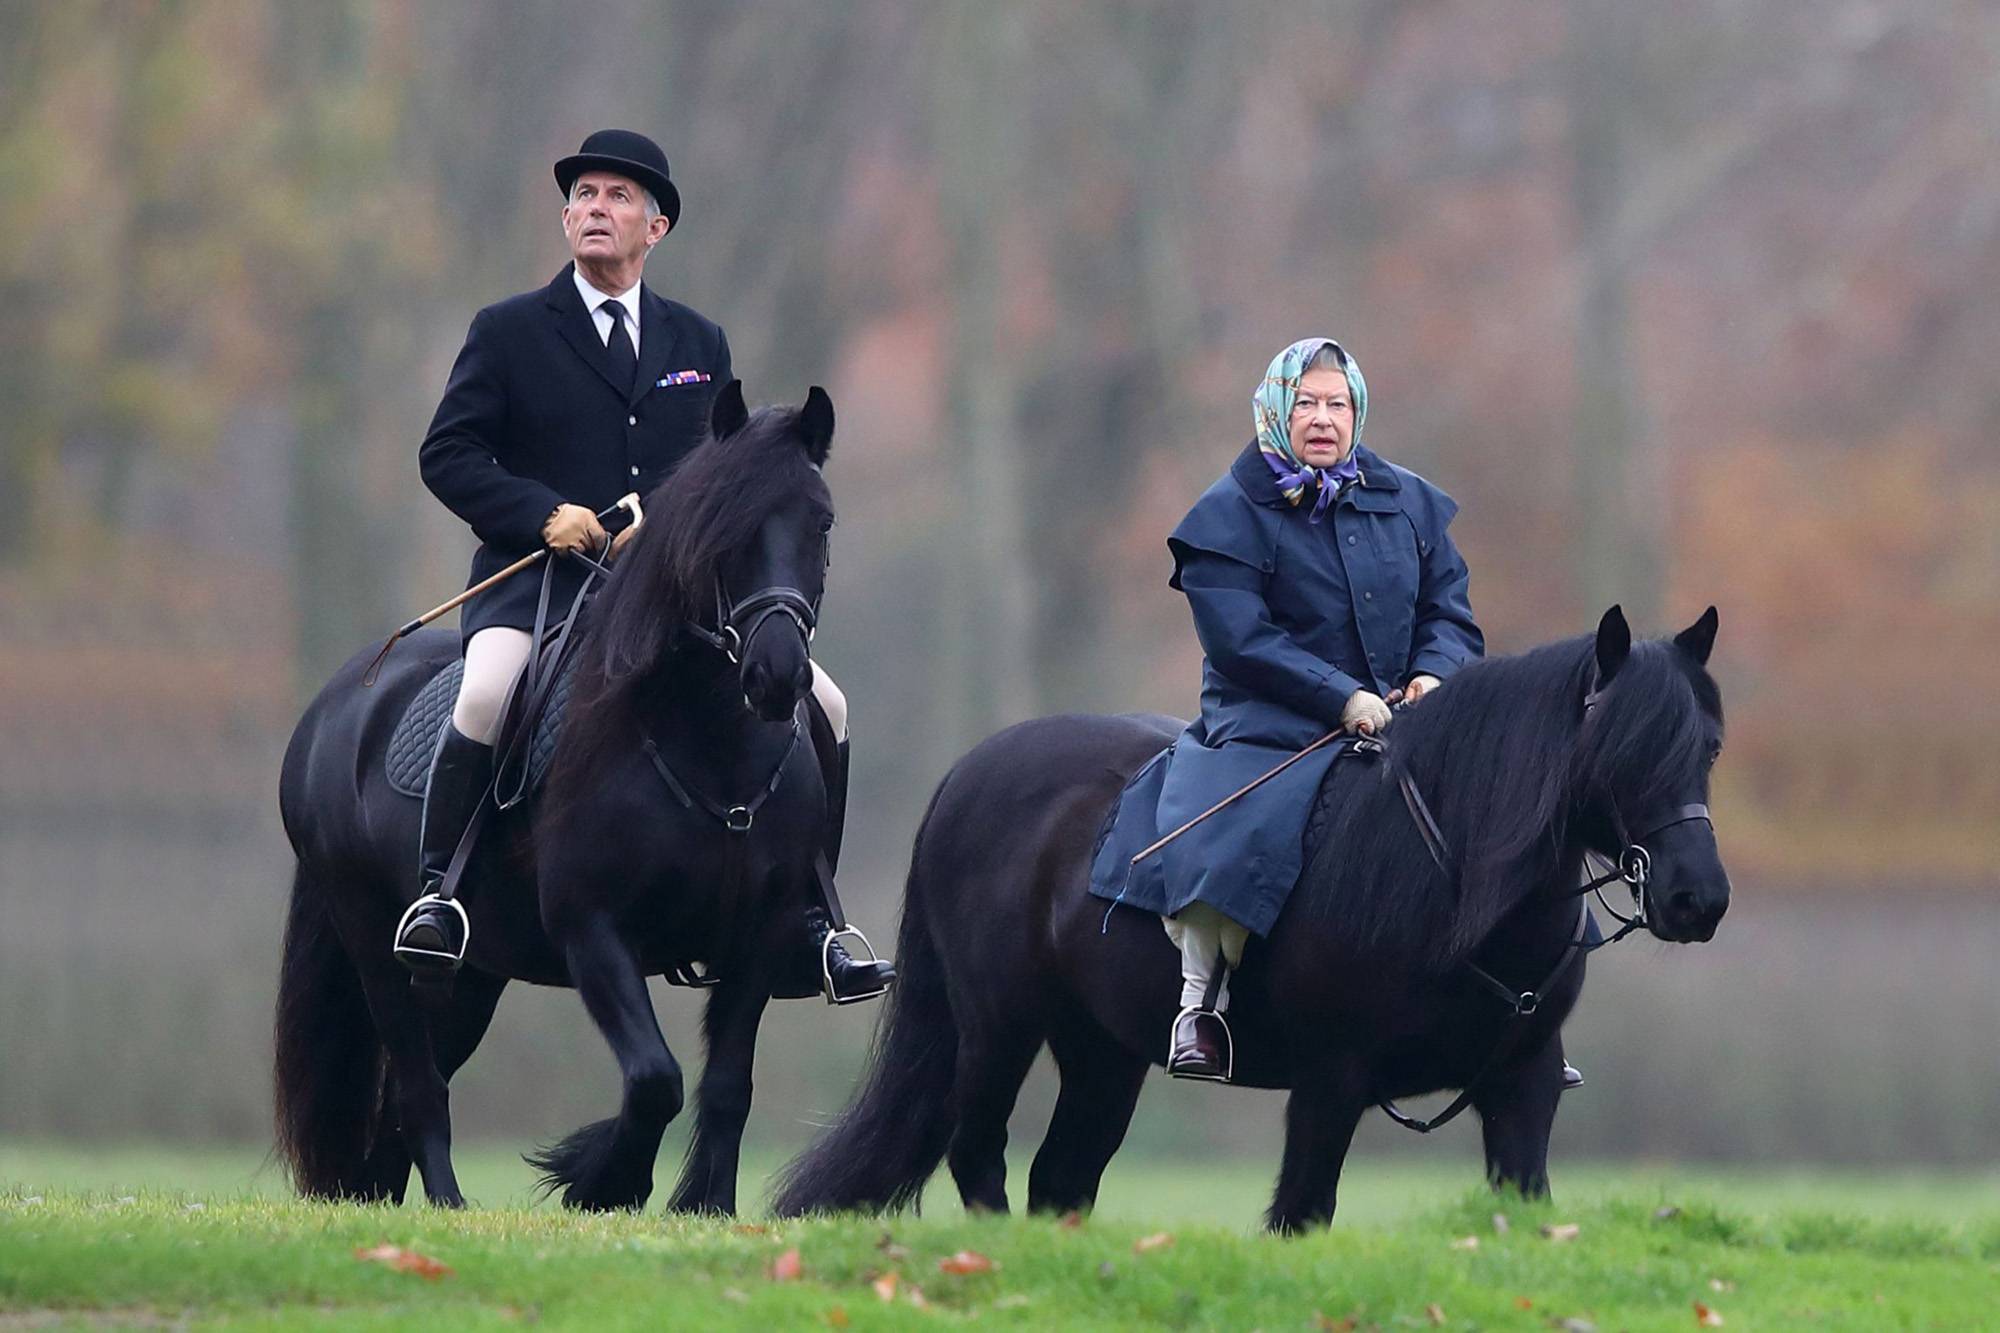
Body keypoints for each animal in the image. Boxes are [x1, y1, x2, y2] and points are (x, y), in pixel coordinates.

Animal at [280, 378, 836, 1208]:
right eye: (720, 524)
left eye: (820, 519)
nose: (775, 676)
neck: (713, 748)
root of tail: (334, 702)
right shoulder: (592, 928)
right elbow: (655, 1078)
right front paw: (604, 1179)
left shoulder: (760, 935)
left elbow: (727, 1087)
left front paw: (705, 1206)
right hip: (376, 942)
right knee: (417, 1085)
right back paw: (450, 1207)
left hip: (471, 974)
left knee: (410, 1098)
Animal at [780, 600, 1736, 1224]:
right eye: (1623, 747)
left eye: (1708, 746)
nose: (1698, 897)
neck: (1451, 881)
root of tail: (968, 773)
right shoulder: (1331, 1082)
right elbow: (1301, 1211)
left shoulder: (1524, 1085)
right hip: (999, 1026)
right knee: (979, 1155)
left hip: (1101, 1049)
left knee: (1062, 1177)